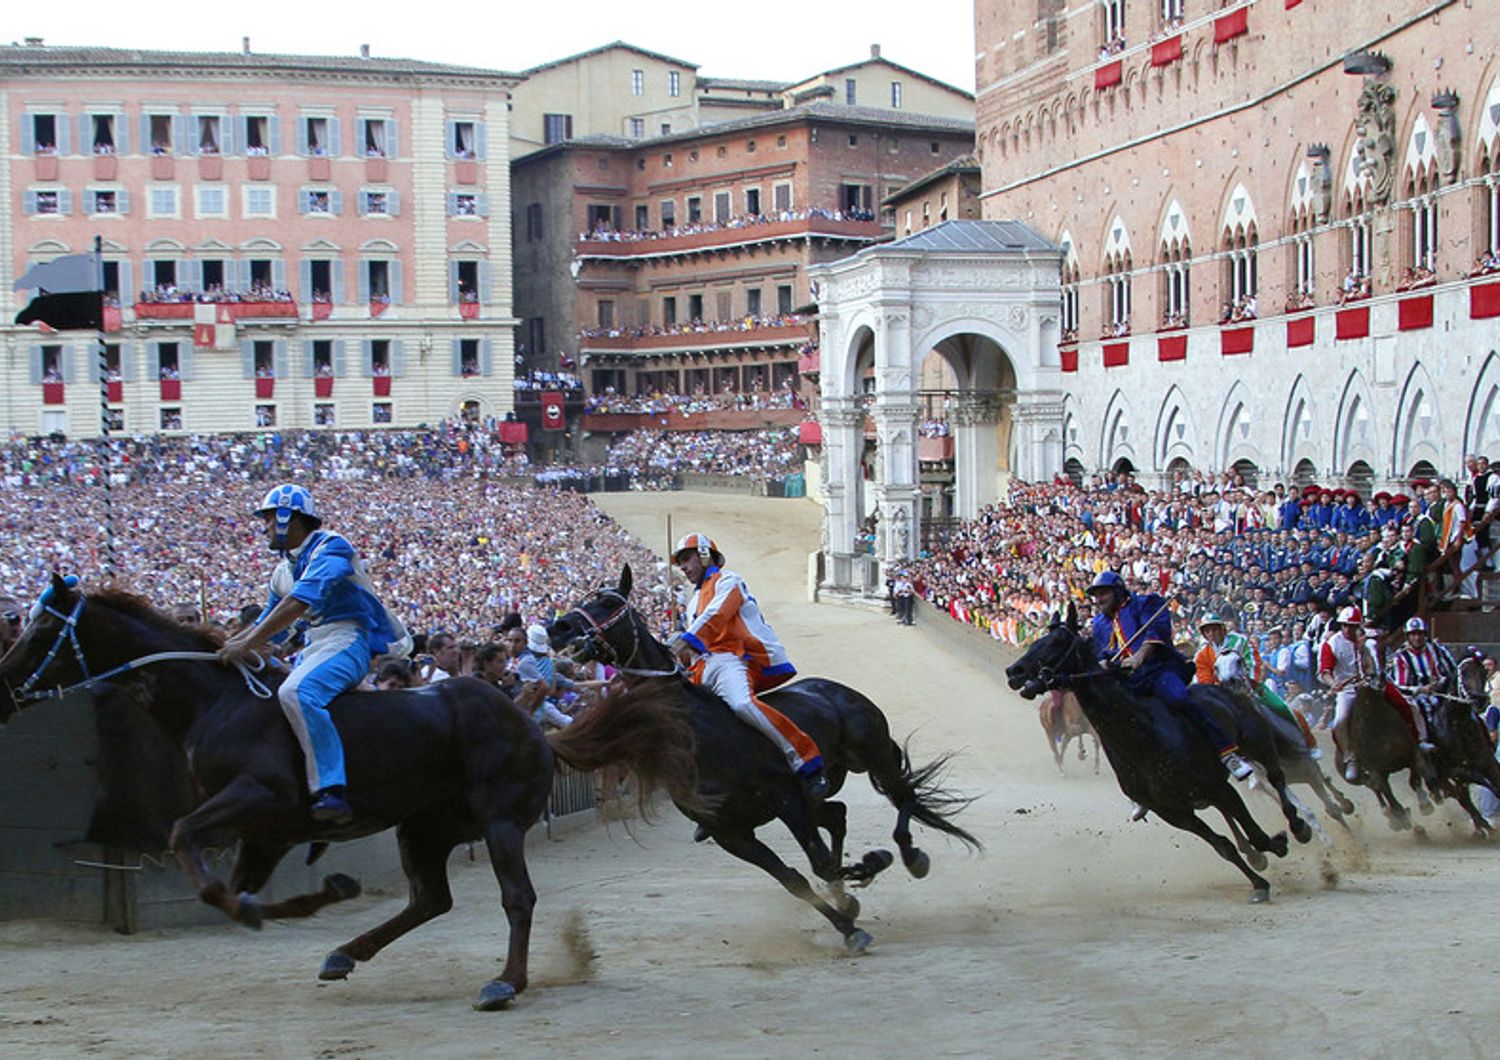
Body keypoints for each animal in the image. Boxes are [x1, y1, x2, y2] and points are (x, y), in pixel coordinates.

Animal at [0, 572, 696, 1013]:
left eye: (40, 632)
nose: (4, 686)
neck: (214, 701)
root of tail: (532, 723)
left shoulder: (259, 800)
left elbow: (185, 842)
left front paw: (296, 900)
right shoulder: (265, 831)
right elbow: (231, 887)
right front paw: (314, 897)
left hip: (498, 821)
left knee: (516, 898)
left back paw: (505, 982)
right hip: (424, 827)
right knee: (430, 900)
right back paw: (346, 950)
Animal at [546, 566, 978, 959]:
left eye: (607, 603)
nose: (558, 628)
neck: (698, 733)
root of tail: (839, 691)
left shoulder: (785, 799)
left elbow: (820, 864)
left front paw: (867, 870)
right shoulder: (729, 832)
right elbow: (794, 880)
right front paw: (848, 921)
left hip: (870, 757)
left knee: (902, 798)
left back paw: (910, 856)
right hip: (818, 793)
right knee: (839, 813)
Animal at [1008, 605, 1314, 905]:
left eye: (1057, 641)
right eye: (1037, 641)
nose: (1014, 671)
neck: (1142, 737)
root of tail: (1224, 687)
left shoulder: (1216, 787)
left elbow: (1255, 832)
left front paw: (1278, 845)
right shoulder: (1173, 812)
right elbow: (1223, 846)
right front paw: (1259, 881)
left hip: (1256, 742)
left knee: (1276, 777)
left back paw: (1299, 825)